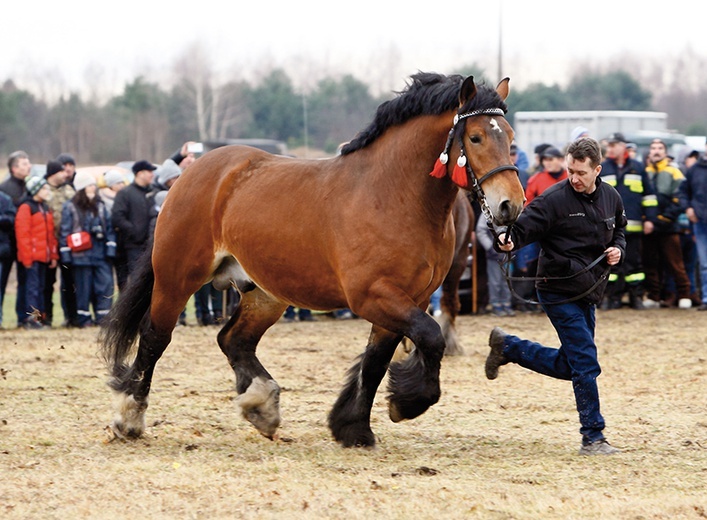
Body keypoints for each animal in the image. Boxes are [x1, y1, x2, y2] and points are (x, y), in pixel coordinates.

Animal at [102, 72, 528, 446]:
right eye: (475, 137)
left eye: (509, 137)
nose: (511, 205)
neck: (393, 195)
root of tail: (193, 174)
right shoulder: (373, 295)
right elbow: (430, 336)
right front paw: (406, 402)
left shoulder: (411, 299)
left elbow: (377, 360)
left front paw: (353, 427)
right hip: (177, 277)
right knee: (155, 337)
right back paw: (130, 418)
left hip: (266, 291)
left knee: (234, 339)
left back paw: (261, 404)